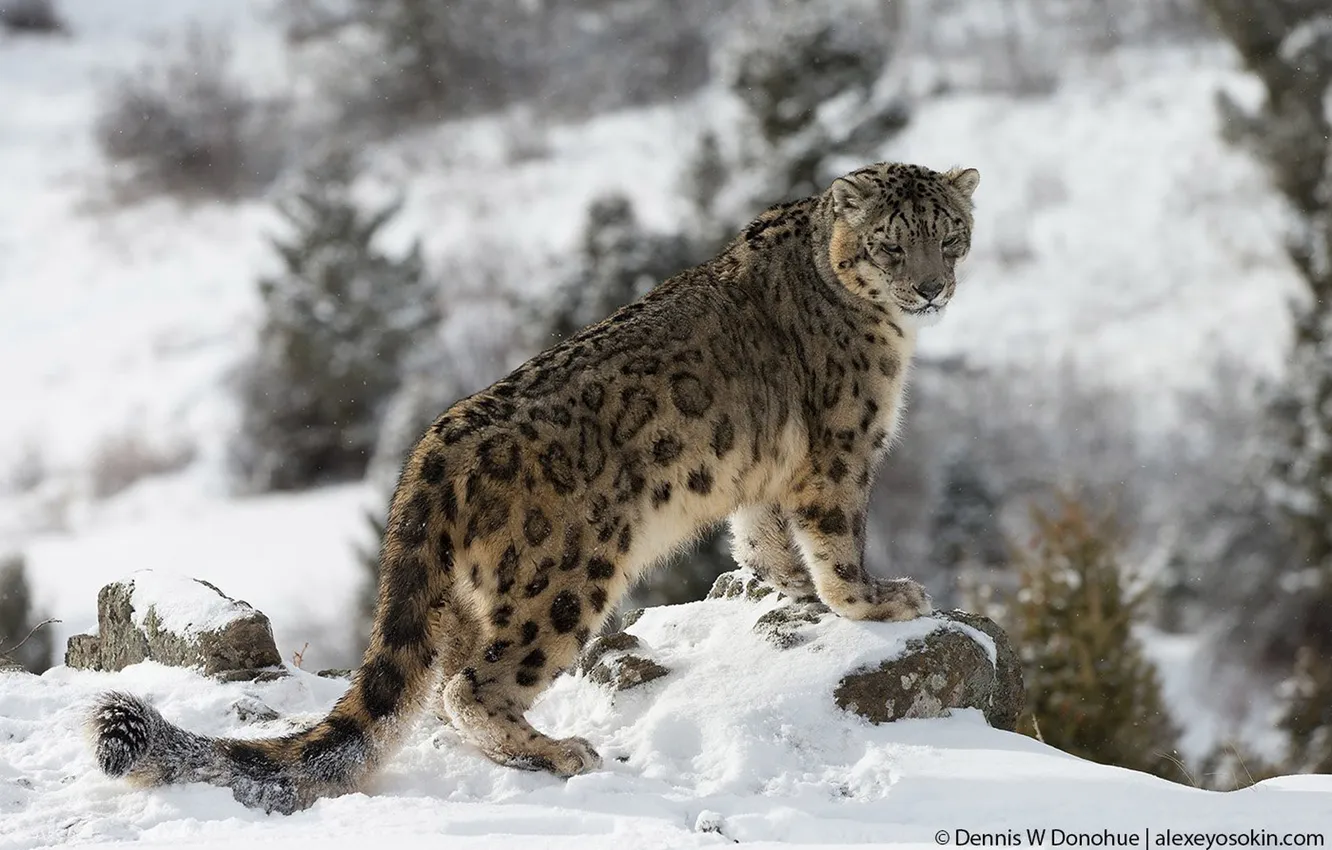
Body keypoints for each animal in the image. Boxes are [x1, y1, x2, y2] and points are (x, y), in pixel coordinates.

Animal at [88, 160, 980, 814]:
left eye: (951, 235)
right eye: (892, 245)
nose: (931, 288)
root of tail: (431, 451)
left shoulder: (767, 470)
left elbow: (762, 535)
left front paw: (784, 589)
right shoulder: (841, 448)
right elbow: (837, 538)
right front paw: (879, 600)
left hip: (468, 599)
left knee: (435, 686)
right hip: (564, 579)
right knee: (470, 686)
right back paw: (560, 751)